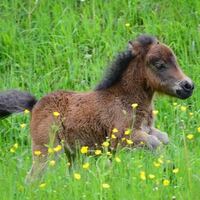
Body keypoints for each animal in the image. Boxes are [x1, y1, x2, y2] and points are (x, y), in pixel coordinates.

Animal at [0, 35, 194, 182]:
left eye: (175, 60)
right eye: (159, 64)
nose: (188, 86)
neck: (124, 99)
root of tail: (35, 105)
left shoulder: (146, 130)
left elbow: (164, 139)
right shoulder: (125, 138)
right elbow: (155, 143)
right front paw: (169, 171)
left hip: (72, 154)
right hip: (46, 150)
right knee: (32, 179)